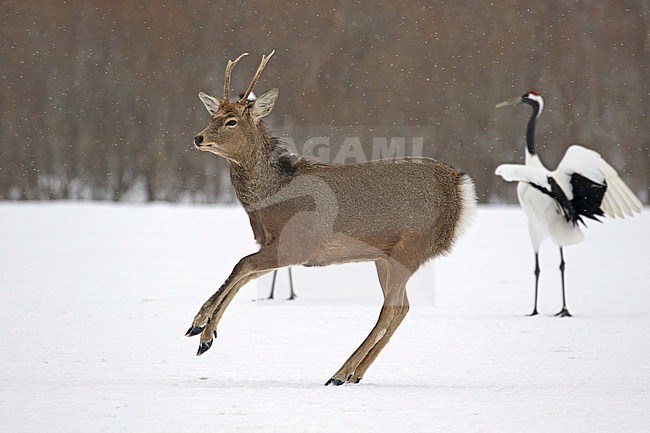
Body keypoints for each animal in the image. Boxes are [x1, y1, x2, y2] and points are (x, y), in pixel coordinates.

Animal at [185, 50, 474, 384]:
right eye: (212, 115)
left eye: (231, 120)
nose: (198, 138)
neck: (271, 197)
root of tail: (460, 186)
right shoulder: (274, 245)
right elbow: (243, 274)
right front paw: (203, 330)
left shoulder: (297, 244)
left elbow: (240, 265)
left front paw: (202, 328)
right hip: (385, 257)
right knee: (402, 308)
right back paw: (355, 374)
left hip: (410, 248)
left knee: (389, 310)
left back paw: (340, 372)